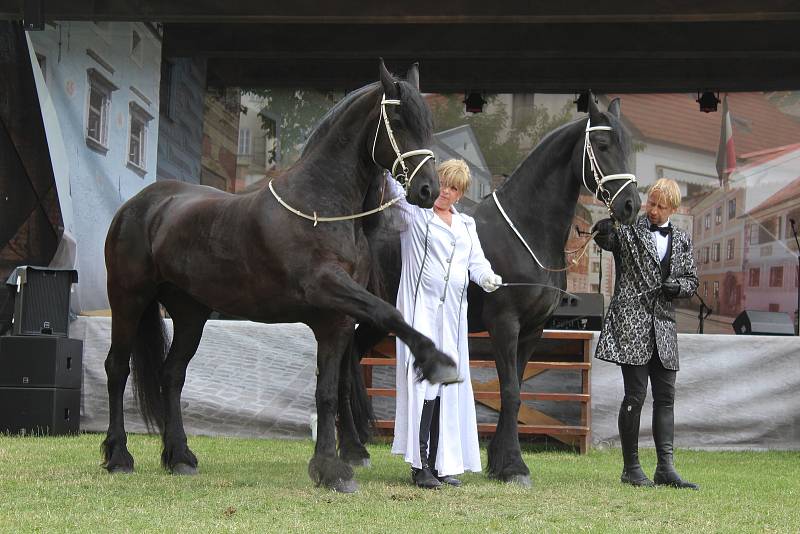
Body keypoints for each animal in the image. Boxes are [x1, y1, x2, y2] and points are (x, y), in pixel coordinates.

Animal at [101, 59, 460, 494]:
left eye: (427, 123)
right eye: (398, 119)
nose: (428, 191)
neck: (321, 207)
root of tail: (140, 205)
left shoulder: (337, 319)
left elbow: (328, 391)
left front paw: (329, 467)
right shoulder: (327, 288)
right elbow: (389, 314)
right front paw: (437, 362)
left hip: (190, 314)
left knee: (172, 375)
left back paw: (180, 456)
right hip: (128, 298)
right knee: (117, 368)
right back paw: (119, 456)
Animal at [340, 95, 640, 486]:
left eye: (628, 147)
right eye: (602, 145)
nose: (631, 205)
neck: (525, 232)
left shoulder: (533, 330)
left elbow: (517, 389)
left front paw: (500, 461)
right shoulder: (505, 325)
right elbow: (509, 391)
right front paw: (514, 465)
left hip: (378, 322)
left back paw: (356, 448)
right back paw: (351, 451)